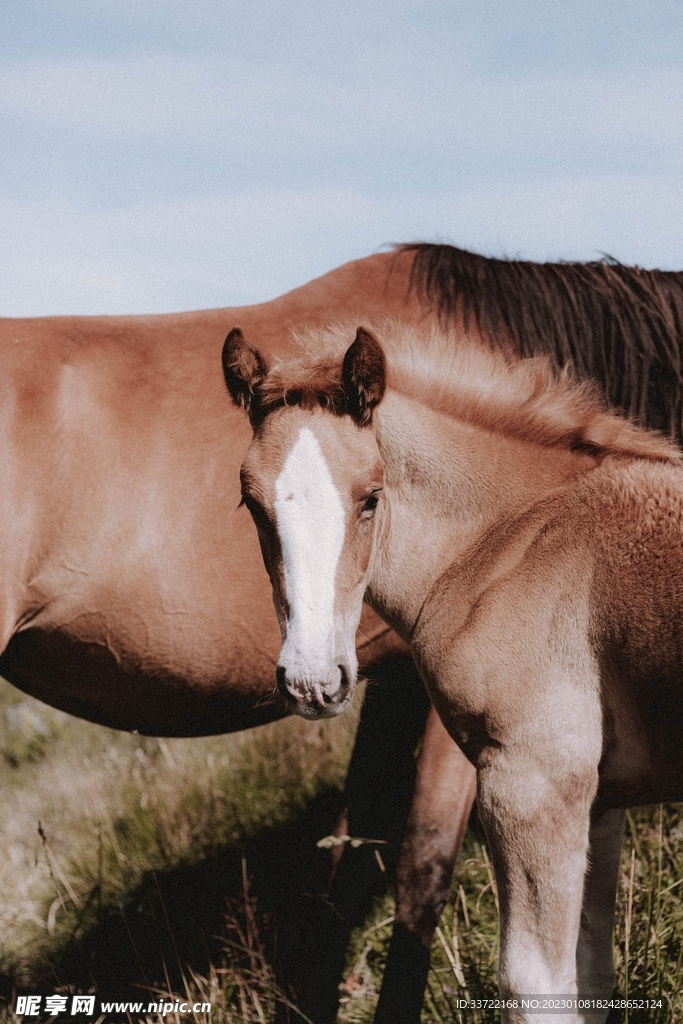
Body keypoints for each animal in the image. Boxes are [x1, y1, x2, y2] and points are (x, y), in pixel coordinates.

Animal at [225, 320, 683, 1023]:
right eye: (252, 503)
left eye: (370, 497)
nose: (311, 681)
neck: (513, 540)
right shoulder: (598, 799)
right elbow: (591, 975)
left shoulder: (531, 783)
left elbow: (534, 983)